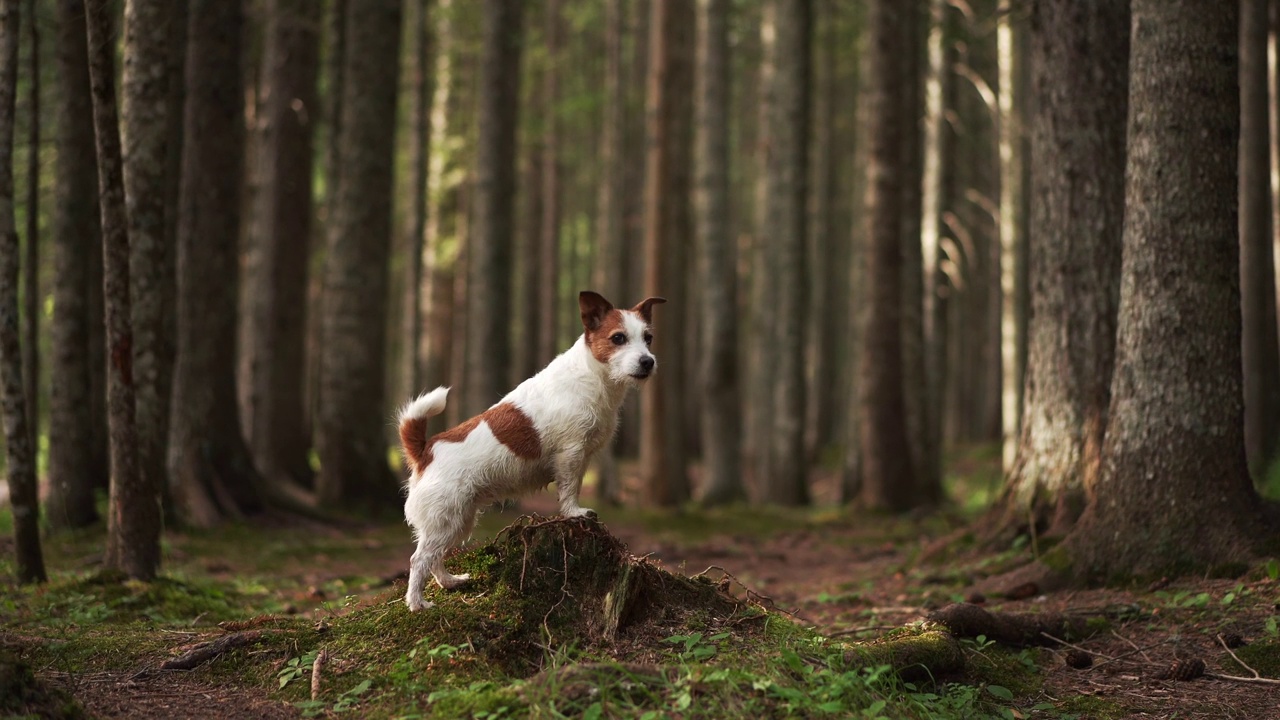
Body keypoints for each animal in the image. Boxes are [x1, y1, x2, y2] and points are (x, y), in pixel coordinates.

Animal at [396, 288, 660, 607]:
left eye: (648, 338)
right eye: (618, 338)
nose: (648, 362)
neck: (590, 375)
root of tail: (426, 451)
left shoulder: (582, 456)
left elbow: (573, 484)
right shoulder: (571, 453)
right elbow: (569, 489)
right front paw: (574, 512)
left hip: (459, 519)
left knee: (435, 558)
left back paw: (450, 582)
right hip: (444, 517)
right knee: (419, 560)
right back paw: (416, 604)